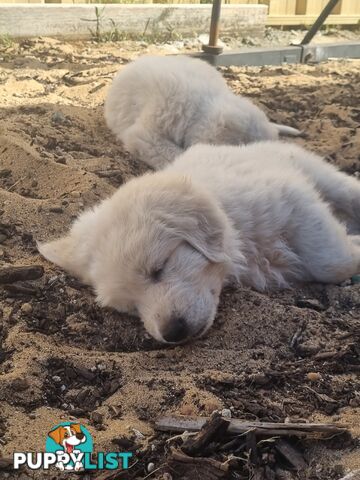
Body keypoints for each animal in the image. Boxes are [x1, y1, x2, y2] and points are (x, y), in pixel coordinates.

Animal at [37, 141, 360, 344]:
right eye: (129, 307)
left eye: (159, 268)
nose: (172, 333)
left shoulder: (294, 201)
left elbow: (332, 261)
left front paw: (353, 246)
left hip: (318, 172)